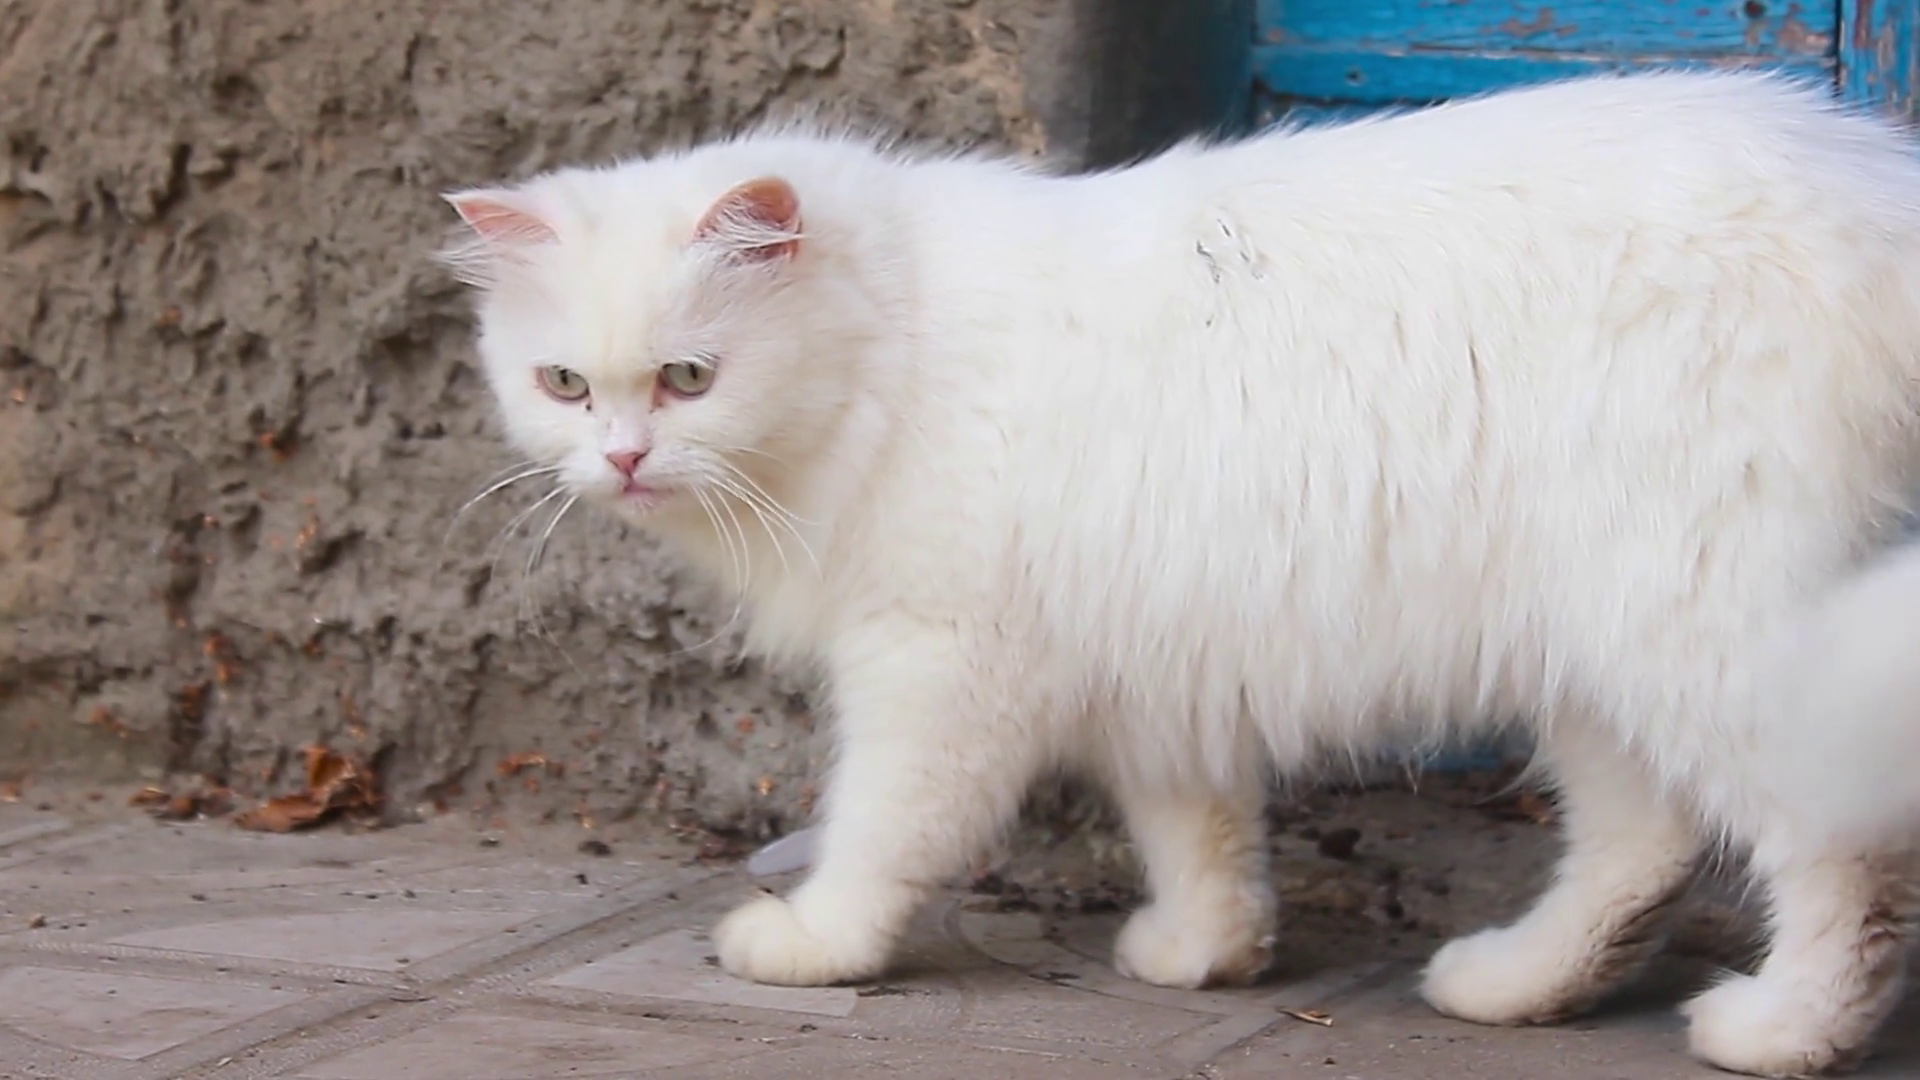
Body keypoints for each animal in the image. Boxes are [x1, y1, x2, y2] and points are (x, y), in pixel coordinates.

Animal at [442, 70, 1920, 1077]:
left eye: (690, 378)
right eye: (563, 385)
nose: (623, 459)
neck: (894, 339)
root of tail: (1862, 173)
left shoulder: (937, 663)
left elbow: (881, 829)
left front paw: (816, 945)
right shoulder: (1154, 657)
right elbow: (1196, 830)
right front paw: (1205, 956)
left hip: (1695, 622)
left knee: (1839, 852)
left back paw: (1785, 1030)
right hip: (1599, 645)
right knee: (1640, 850)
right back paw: (1515, 986)